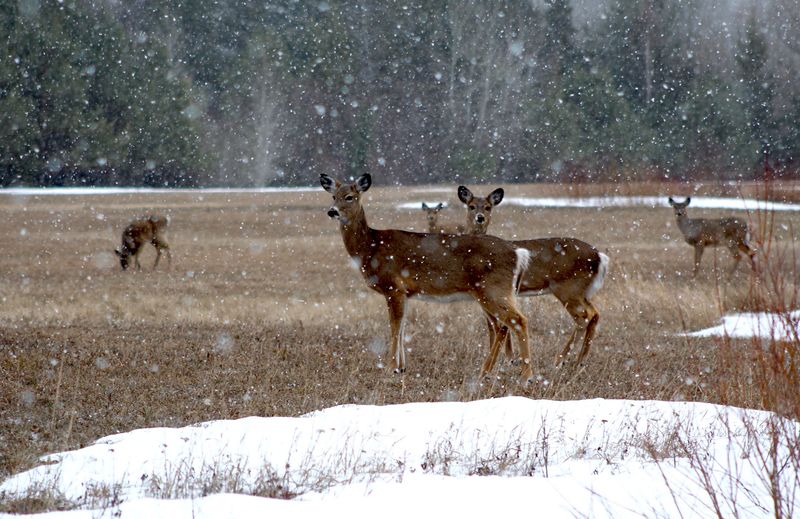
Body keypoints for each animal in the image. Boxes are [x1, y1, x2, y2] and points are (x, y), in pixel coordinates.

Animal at [320, 173, 535, 383]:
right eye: (333, 196)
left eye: (350, 197)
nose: (332, 212)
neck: (370, 248)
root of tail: (518, 253)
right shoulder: (404, 292)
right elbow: (402, 327)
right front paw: (401, 368)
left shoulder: (393, 287)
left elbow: (395, 327)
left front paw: (390, 369)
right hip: (491, 292)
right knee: (504, 325)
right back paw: (489, 373)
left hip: (493, 289)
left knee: (518, 320)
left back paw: (526, 376)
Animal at [457, 186, 609, 367]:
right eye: (471, 206)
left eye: (488, 207)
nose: (480, 217)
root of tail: (600, 256)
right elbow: (494, 325)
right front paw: (506, 358)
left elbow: (498, 325)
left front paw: (508, 359)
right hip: (582, 292)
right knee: (595, 314)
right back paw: (580, 361)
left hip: (568, 289)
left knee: (584, 317)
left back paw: (560, 360)